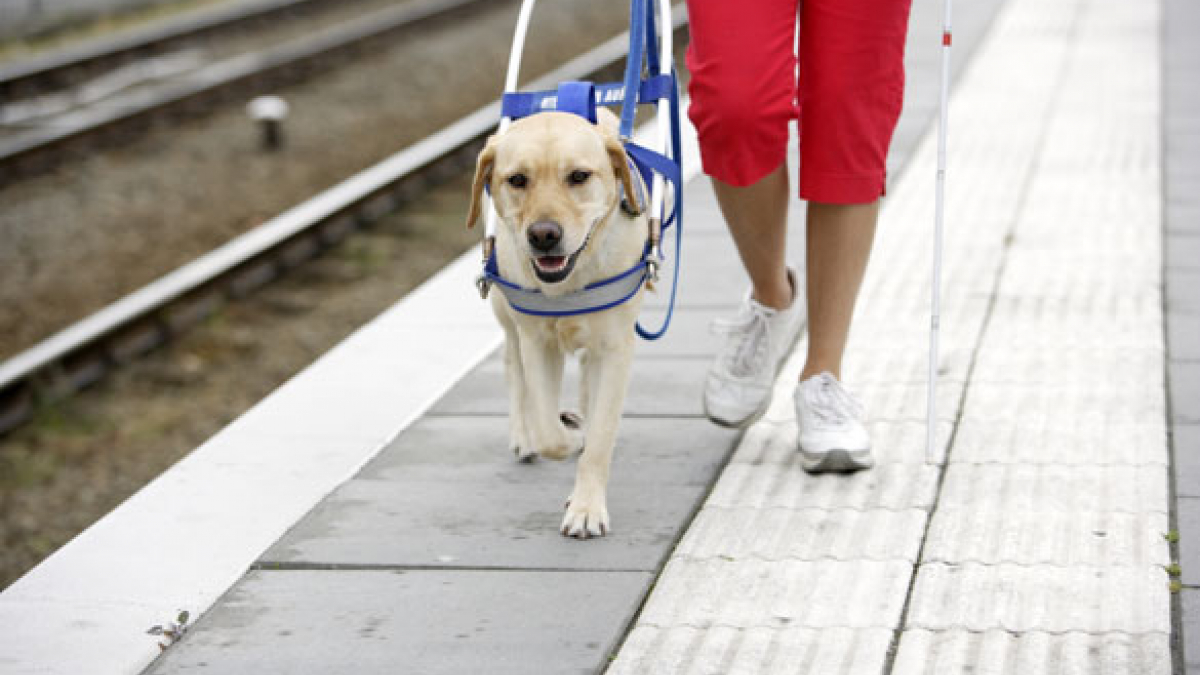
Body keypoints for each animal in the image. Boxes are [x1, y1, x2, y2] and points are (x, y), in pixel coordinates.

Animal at [463, 109, 648, 535]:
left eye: (579, 176)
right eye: (517, 179)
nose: (544, 235)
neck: (570, 281)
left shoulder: (615, 348)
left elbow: (600, 437)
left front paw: (586, 508)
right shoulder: (538, 343)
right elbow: (550, 430)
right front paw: (569, 434)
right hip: (506, 313)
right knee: (514, 369)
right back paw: (525, 435)